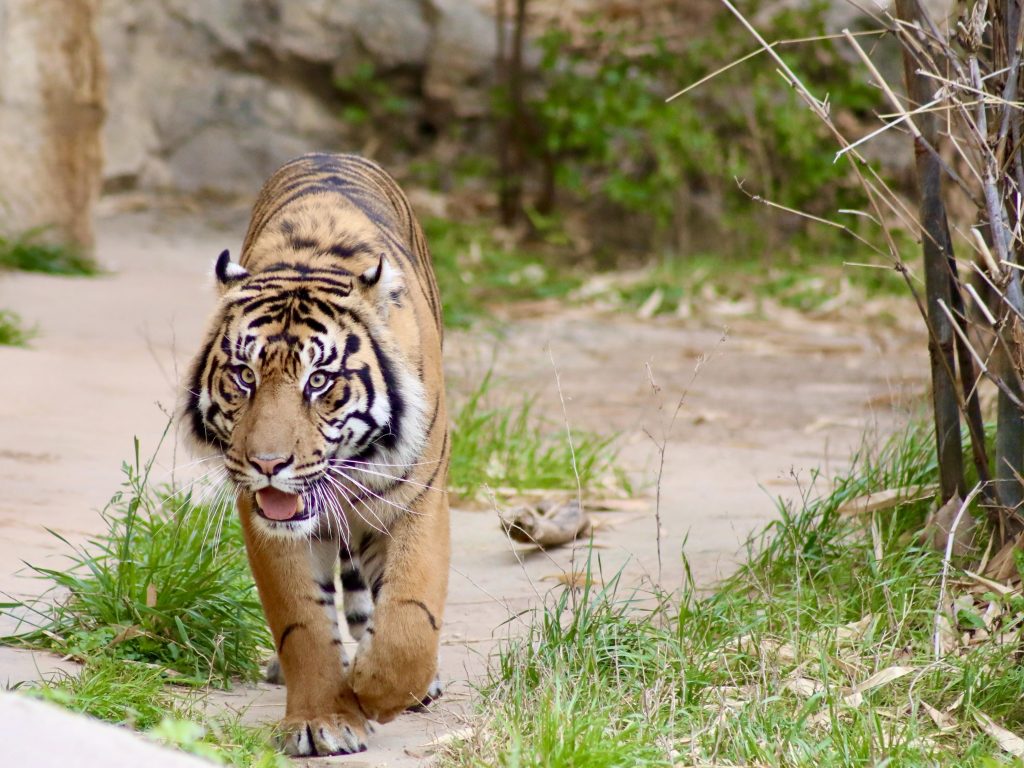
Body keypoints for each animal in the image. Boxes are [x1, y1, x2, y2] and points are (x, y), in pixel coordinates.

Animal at [181, 153, 452, 753]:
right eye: (244, 376)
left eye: (319, 380)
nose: (267, 465)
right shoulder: (264, 518)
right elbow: (302, 622)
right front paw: (321, 719)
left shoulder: (418, 497)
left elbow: (408, 618)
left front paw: (377, 688)